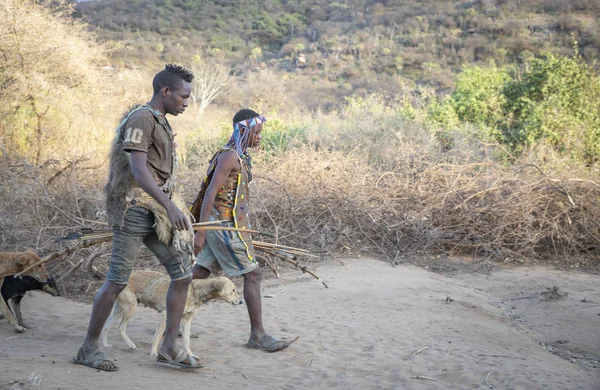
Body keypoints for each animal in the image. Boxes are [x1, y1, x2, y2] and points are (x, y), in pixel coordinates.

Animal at [101, 270, 241, 358]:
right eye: (233, 290)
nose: (241, 302)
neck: (194, 291)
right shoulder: (166, 315)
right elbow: (158, 336)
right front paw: (153, 352)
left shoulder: (186, 320)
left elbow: (186, 340)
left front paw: (190, 355)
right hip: (130, 308)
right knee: (120, 327)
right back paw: (130, 345)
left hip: (119, 310)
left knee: (106, 325)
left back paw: (105, 344)